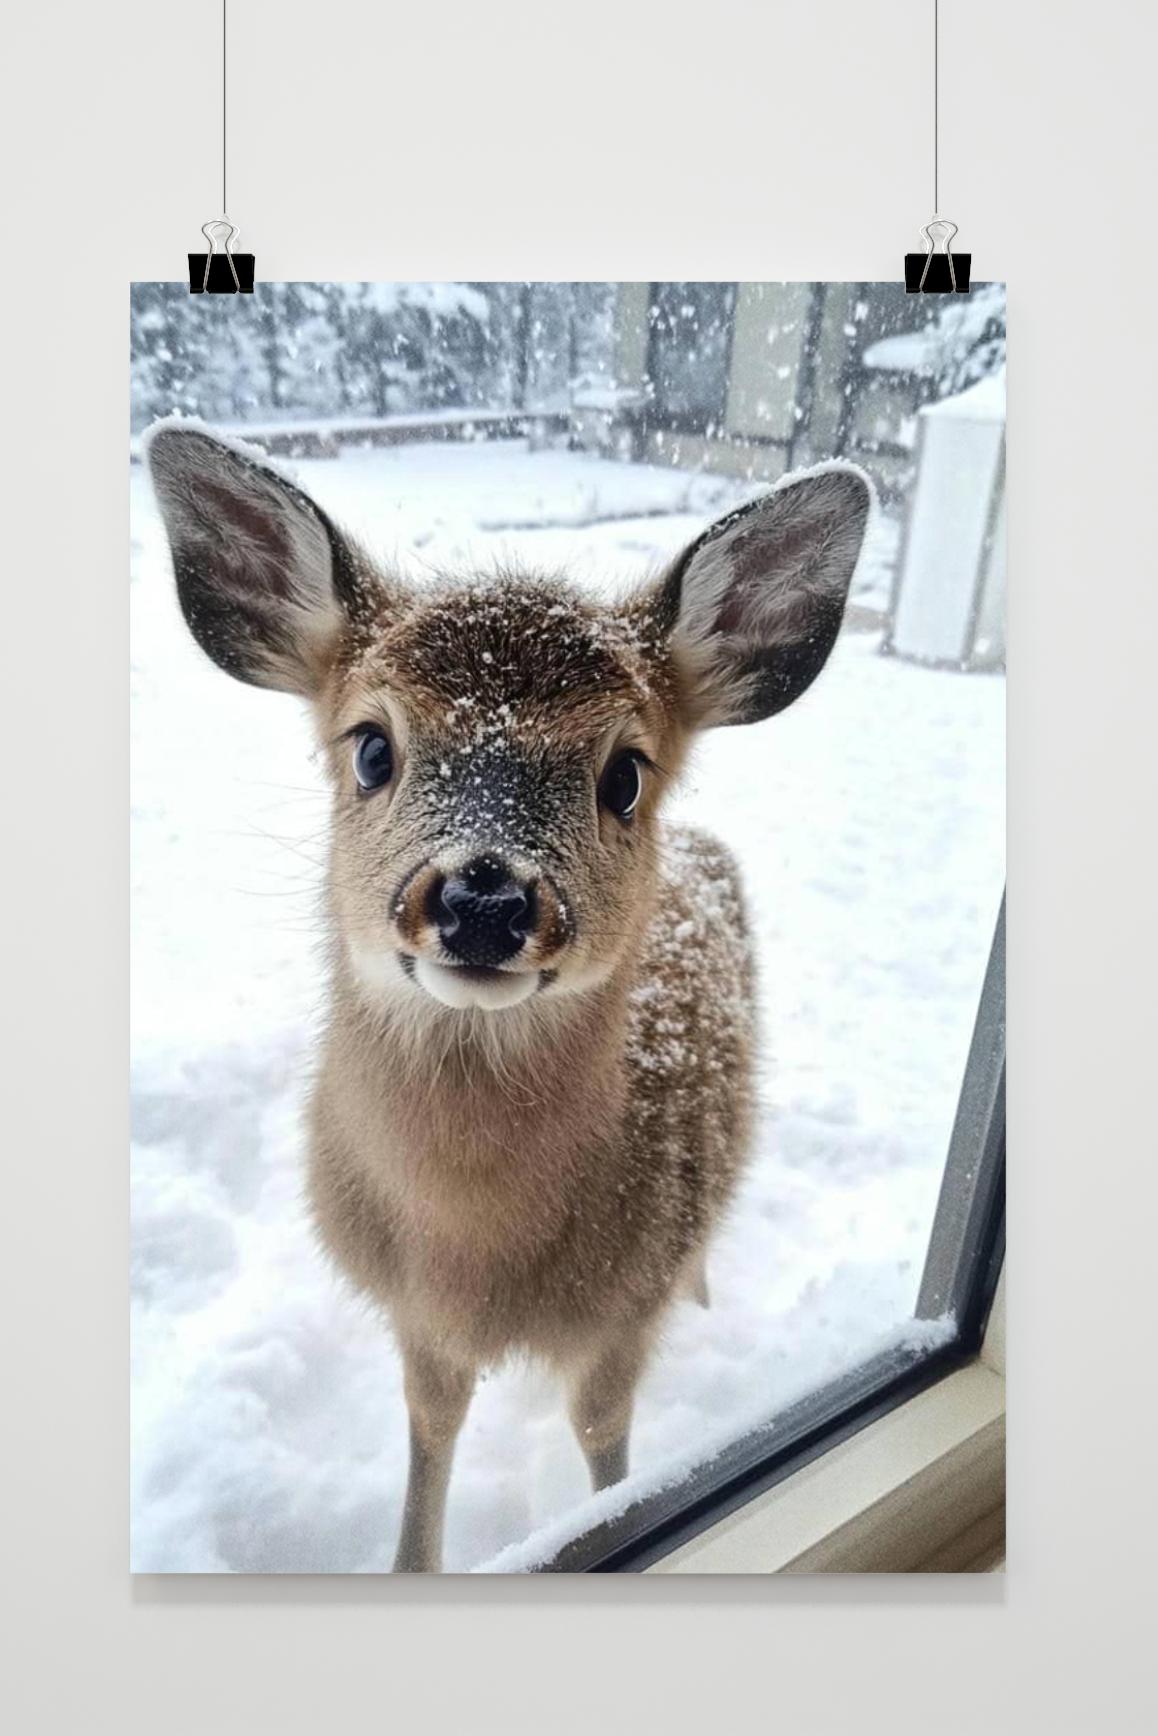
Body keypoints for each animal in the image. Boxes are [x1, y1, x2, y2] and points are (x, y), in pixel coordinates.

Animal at [146, 422, 870, 1572]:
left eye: (625, 773)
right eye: (372, 746)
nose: (483, 897)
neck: (473, 1259)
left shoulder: (621, 1314)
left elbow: (606, 1445)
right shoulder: (415, 1317)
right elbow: (429, 1430)